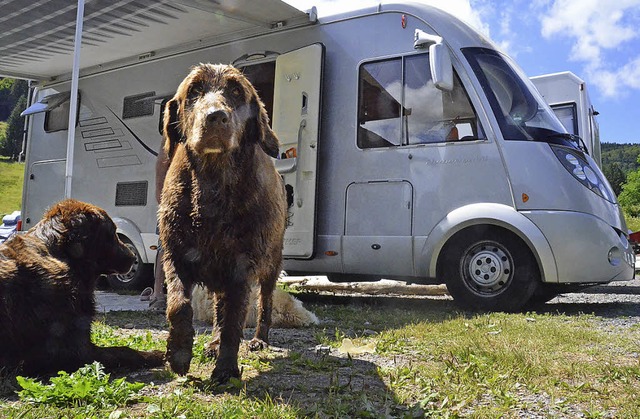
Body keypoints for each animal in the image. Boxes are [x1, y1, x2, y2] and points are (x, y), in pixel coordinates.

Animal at [0, 200, 165, 378]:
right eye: (112, 232)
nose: (133, 257)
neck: (62, 256)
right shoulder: (75, 350)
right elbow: (124, 351)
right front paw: (156, 354)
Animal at [159, 63, 284, 384]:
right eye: (194, 91)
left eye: (236, 91)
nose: (215, 116)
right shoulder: (176, 255)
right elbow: (178, 306)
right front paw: (179, 353)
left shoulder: (242, 265)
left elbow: (234, 319)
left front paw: (226, 368)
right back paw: (213, 344)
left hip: (271, 262)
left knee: (265, 301)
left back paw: (259, 339)